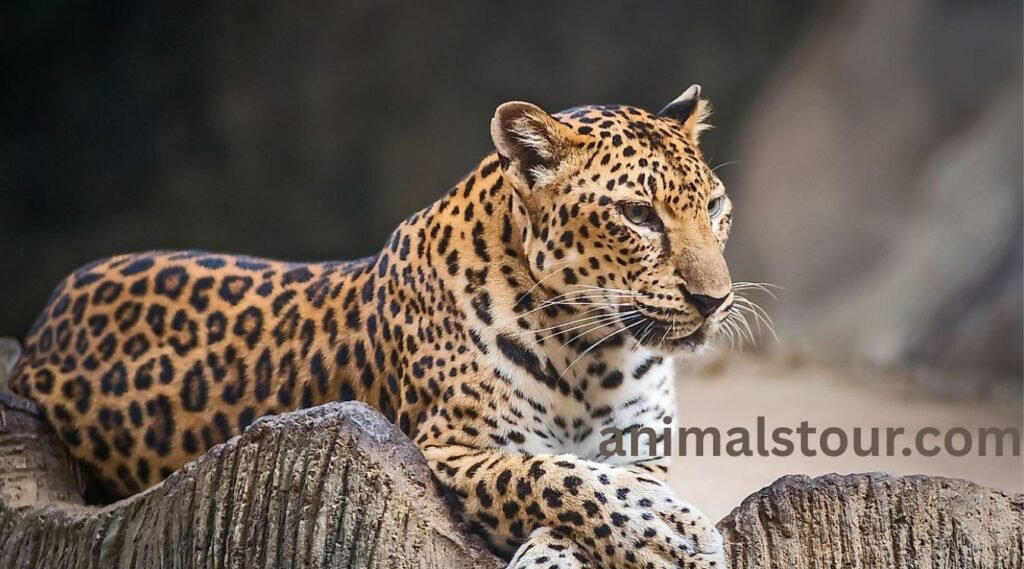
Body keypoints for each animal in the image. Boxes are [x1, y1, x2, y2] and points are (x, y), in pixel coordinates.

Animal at [11, 84, 737, 568]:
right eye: (638, 215)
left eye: (714, 207)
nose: (715, 299)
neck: (593, 352)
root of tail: (46, 313)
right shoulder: (450, 449)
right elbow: (553, 476)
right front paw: (676, 537)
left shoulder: (641, 450)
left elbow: (599, 481)